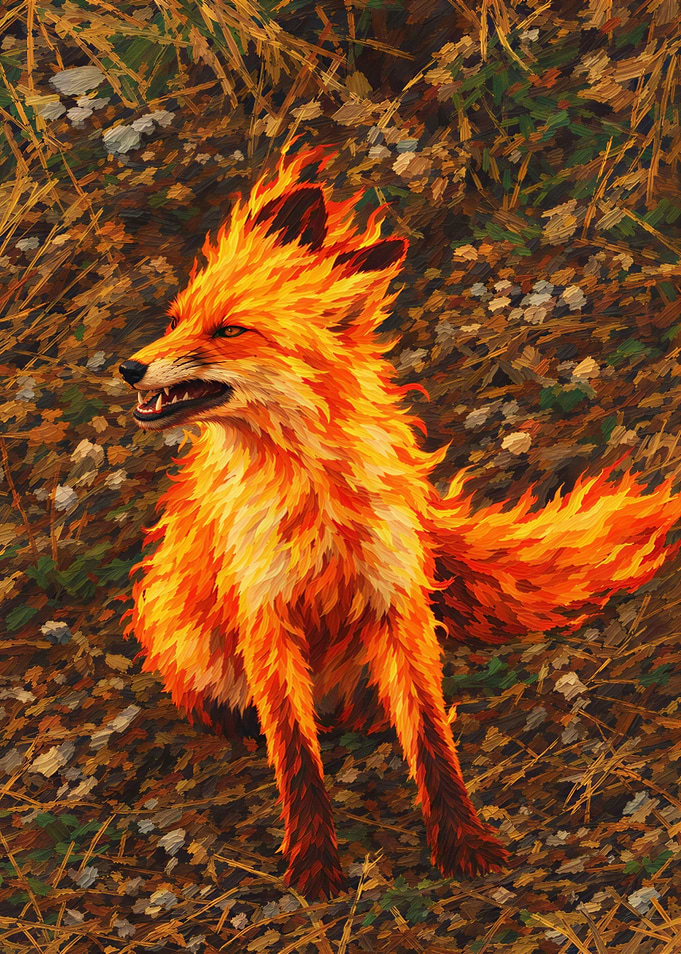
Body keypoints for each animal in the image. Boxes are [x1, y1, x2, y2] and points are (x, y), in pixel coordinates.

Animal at [119, 146, 681, 900]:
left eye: (229, 330)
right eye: (178, 319)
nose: (129, 368)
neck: (314, 496)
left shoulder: (395, 601)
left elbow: (431, 737)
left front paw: (461, 840)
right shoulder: (265, 611)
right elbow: (295, 754)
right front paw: (314, 862)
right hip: (186, 639)